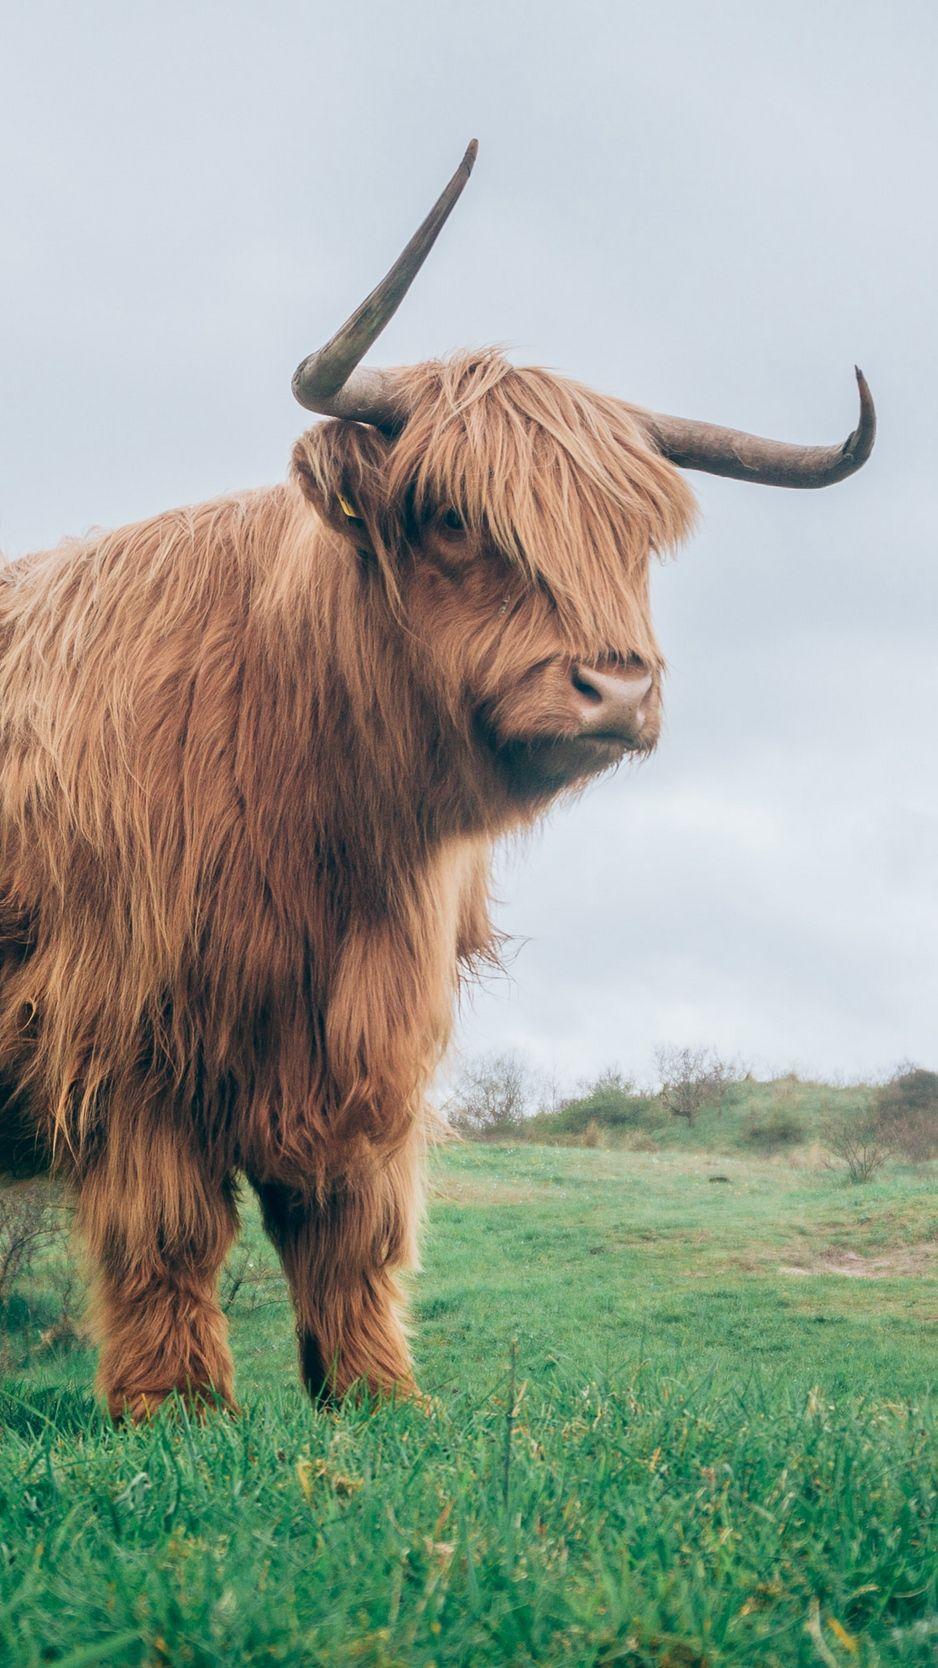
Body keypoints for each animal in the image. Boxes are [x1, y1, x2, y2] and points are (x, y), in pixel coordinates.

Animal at [0, 142, 874, 1418]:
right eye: (456, 517)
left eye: (631, 541)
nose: (617, 690)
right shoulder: (132, 1030)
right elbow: (170, 1235)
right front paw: (178, 1411)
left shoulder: (370, 1046)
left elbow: (349, 1231)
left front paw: (379, 1398)